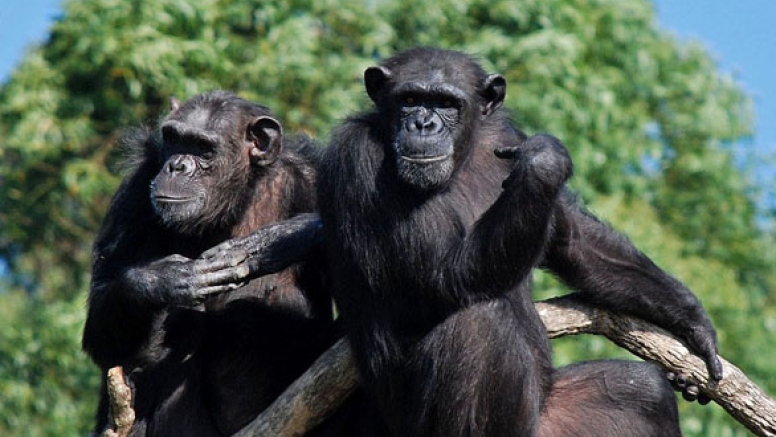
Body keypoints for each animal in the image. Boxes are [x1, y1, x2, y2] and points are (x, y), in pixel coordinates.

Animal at [81, 90, 342, 434]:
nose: (176, 166)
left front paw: (277, 241)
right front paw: (168, 278)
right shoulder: (137, 187)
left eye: (203, 147)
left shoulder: (315, 177)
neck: (237, 197)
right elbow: (101, 327)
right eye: (174, 139)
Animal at [312, 46, 724, 434]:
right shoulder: (358, 155)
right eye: (410, 98)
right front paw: (545, 161)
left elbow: (573, 238)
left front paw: (692, 321)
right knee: (479, 321)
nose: (424, 123)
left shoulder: (507, 137)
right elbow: (441, 275)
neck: (463, 159)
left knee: (642, 391)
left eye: (447, 104)